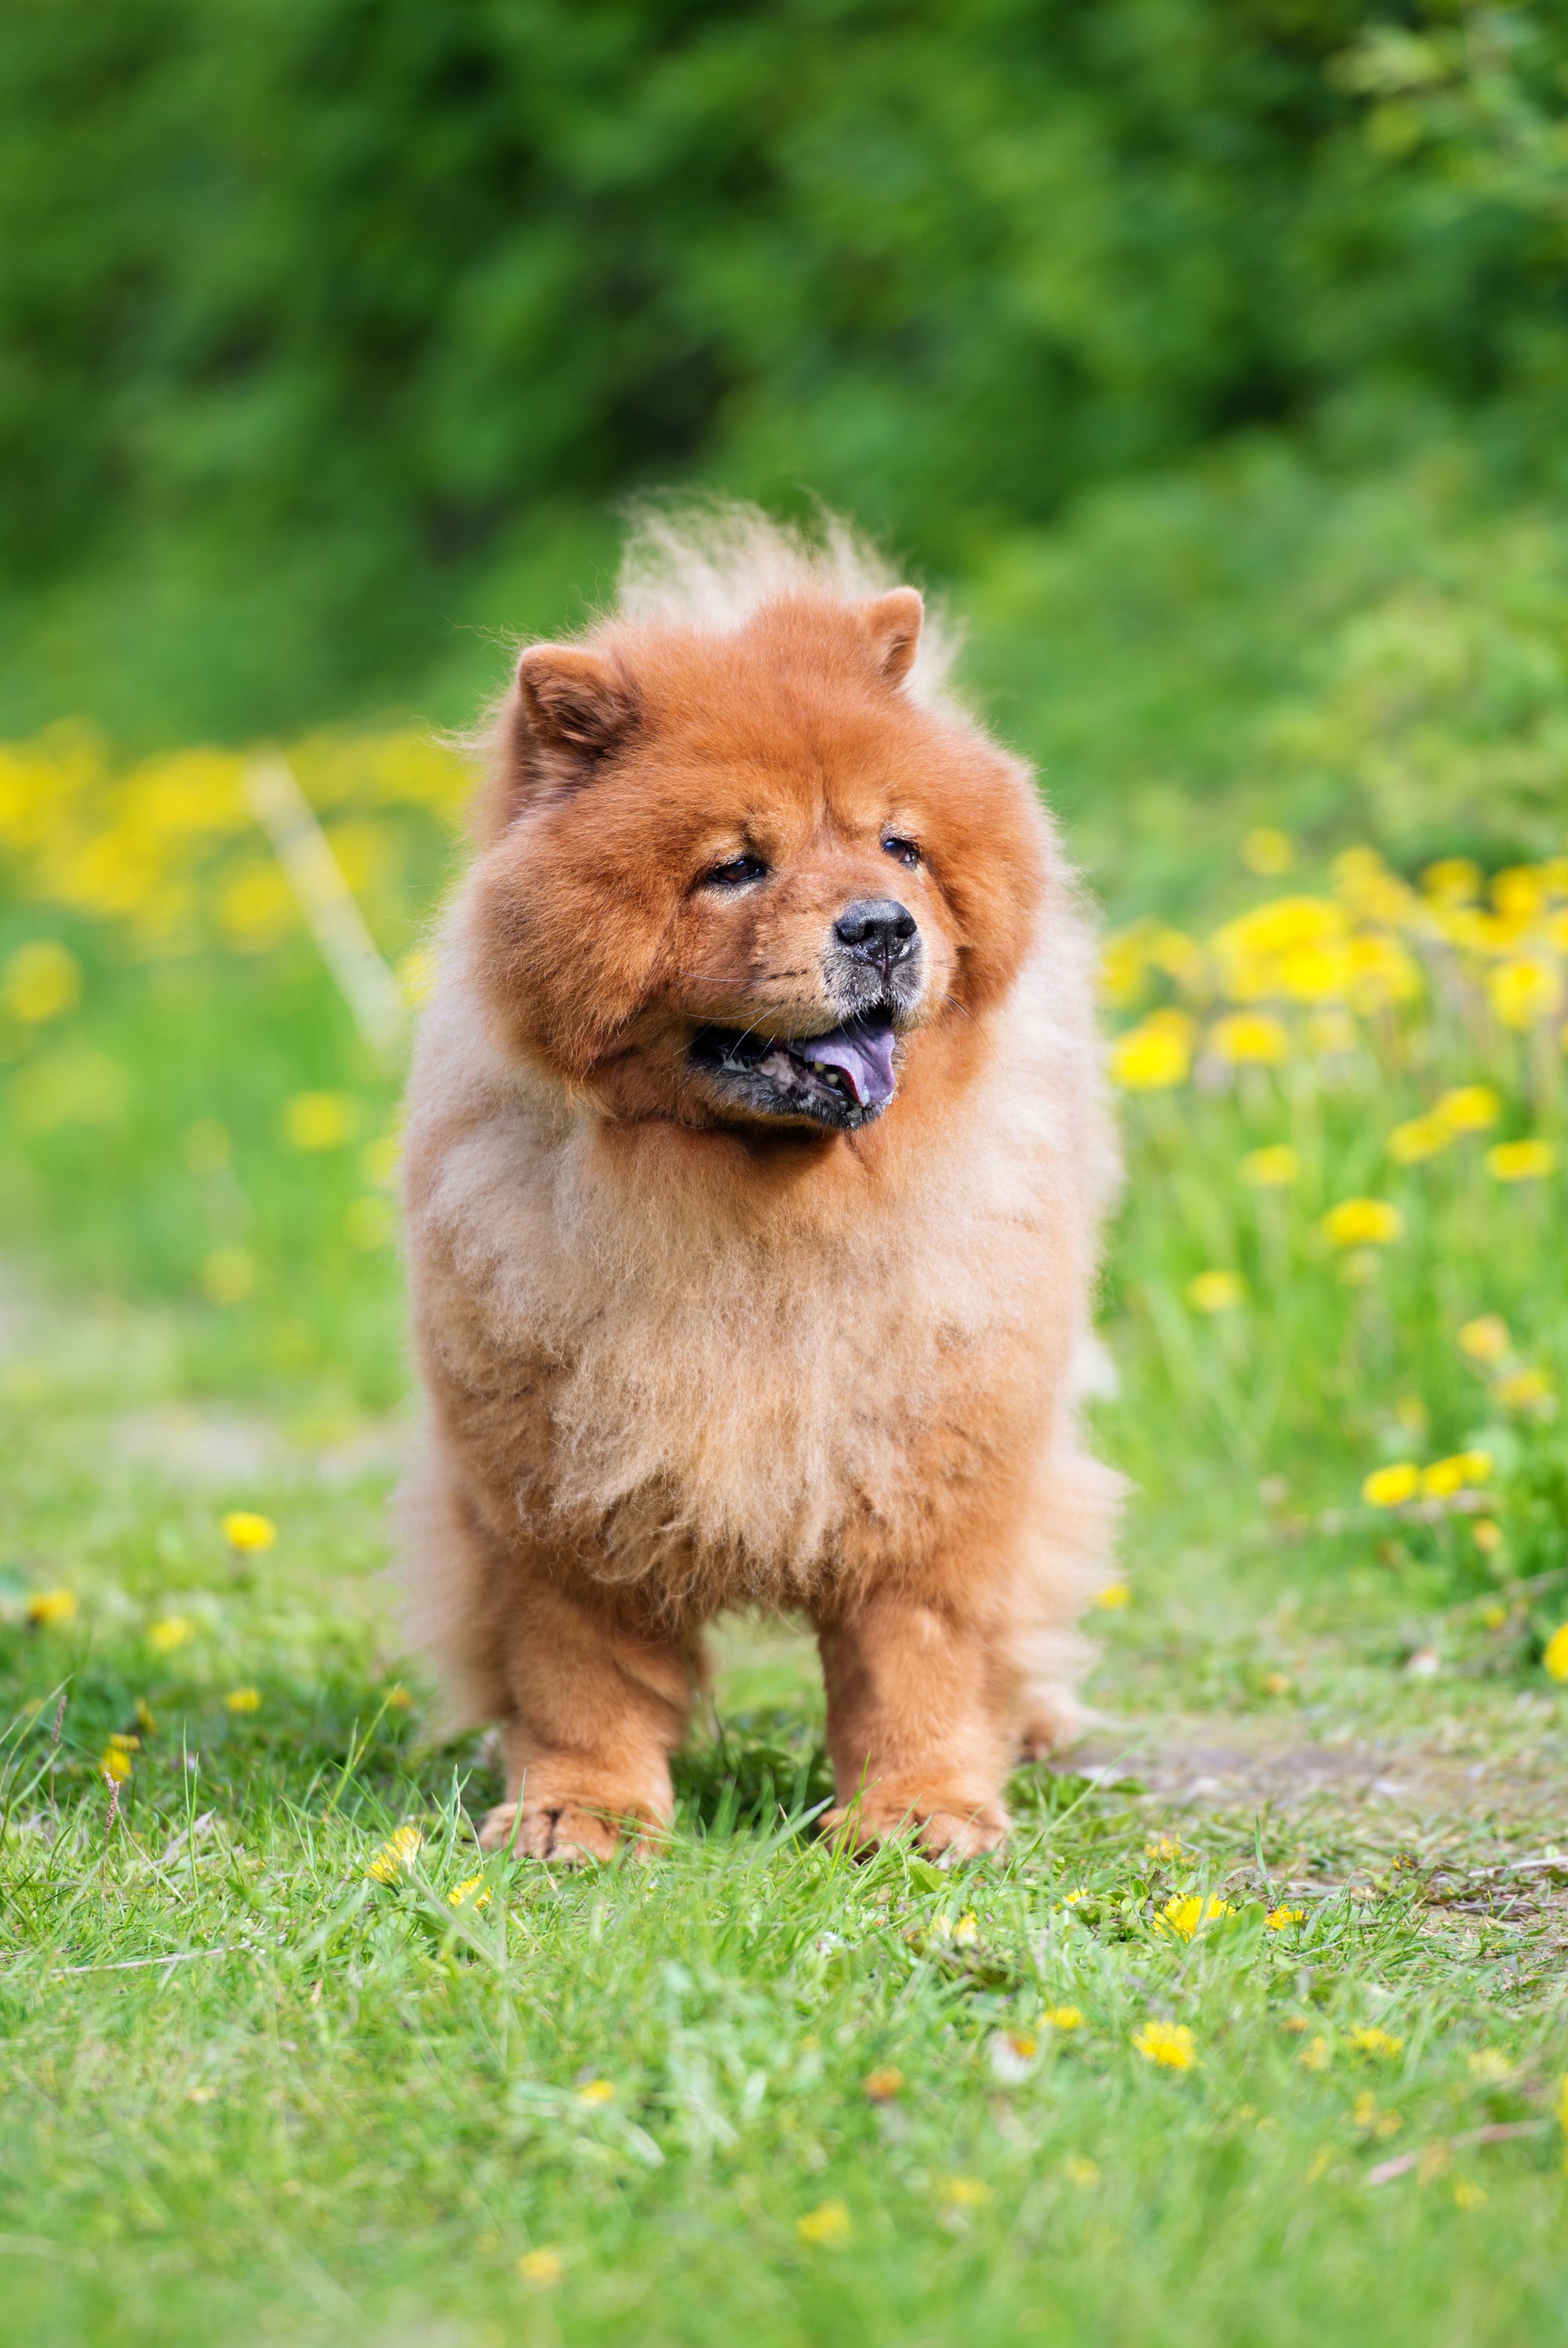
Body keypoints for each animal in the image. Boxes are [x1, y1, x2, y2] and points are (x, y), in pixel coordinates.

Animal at [398, 504, 1122, 1860]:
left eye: (899, 845)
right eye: (736, 865)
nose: (881, 924)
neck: (757, 1213)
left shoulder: (935, 1461)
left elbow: (921, 1655)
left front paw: (922, 1813)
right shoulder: (549, 1476)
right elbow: (575, 1663)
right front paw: (579, 1813)